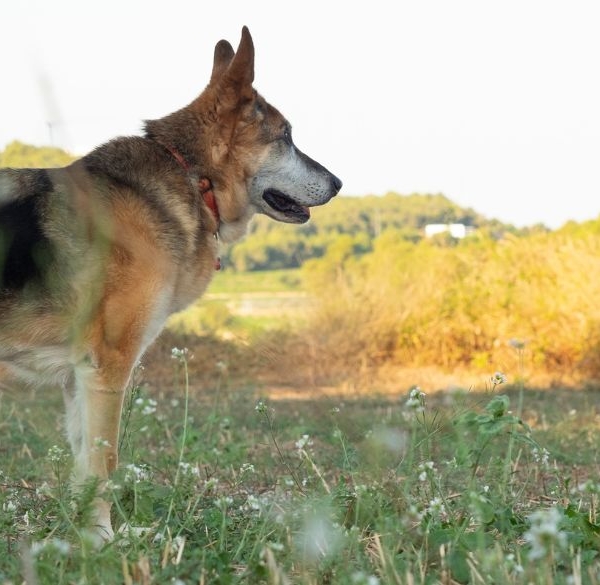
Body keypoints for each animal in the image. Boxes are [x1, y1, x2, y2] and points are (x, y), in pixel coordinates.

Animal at [0, 26, 342, 540]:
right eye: (286, 137)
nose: (339, 183)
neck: (190, 174)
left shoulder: (79, 379)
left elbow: (84, 467)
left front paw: (86, 539)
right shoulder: (106, 370)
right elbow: (103, 465)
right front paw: (105, 541)